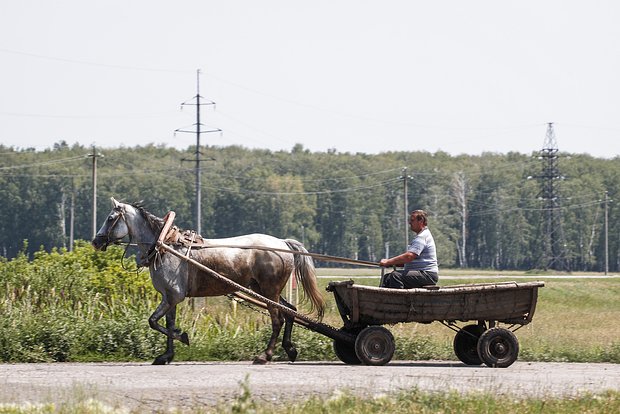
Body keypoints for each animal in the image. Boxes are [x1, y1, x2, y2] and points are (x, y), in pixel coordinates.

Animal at [93, 199, 324, 364]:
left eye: (111, 218)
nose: (96, 241)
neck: (164, 246)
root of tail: (282, 243)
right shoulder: (169, 297)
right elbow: (167, 324)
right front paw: (166, 355)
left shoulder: (174, 296)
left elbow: (153, 322)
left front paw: (182, 337)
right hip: (264, 290)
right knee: (290, 311)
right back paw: (290, 349)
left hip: (269, 290)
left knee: (278, 320)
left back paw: (264, 355)